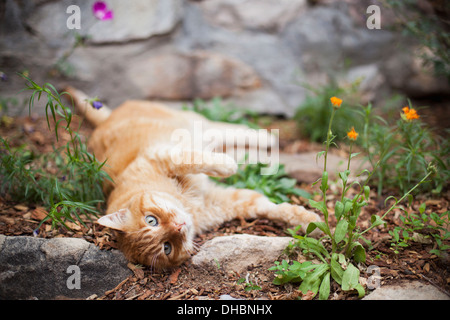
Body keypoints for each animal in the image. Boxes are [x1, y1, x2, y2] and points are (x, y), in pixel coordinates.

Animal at [66, 87, 320, 270]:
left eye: (151, 220)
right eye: (167, 247)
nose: (179, 226)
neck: (188, 205)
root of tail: (105, 121)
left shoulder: (160, 156)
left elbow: (193, 159)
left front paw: (227, 166)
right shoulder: (231, 201)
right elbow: (272, 208)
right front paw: (311, 222)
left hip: (194, 124)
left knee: (226, 129)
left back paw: (265, 138)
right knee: (228, 143)